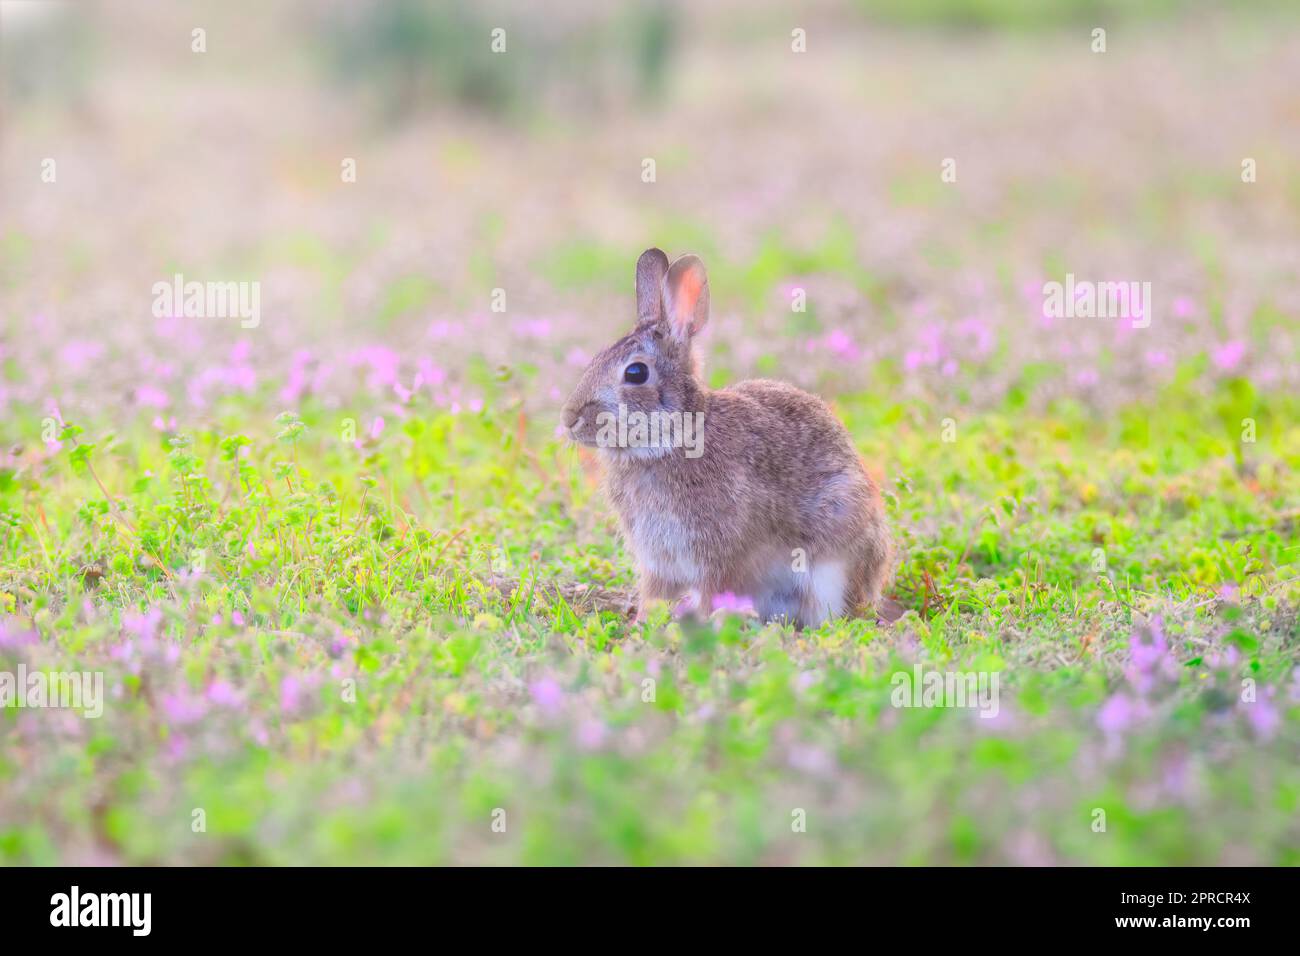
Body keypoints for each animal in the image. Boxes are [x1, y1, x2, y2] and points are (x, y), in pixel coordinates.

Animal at [561, 251, 894, 632]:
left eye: (635, 373)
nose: (569, 419)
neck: (671, 440)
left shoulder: (718, 554)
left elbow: (712, 590)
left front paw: (702, 624)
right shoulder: (658, 561)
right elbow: (654, 595)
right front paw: (642, 626)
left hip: (833, 558)